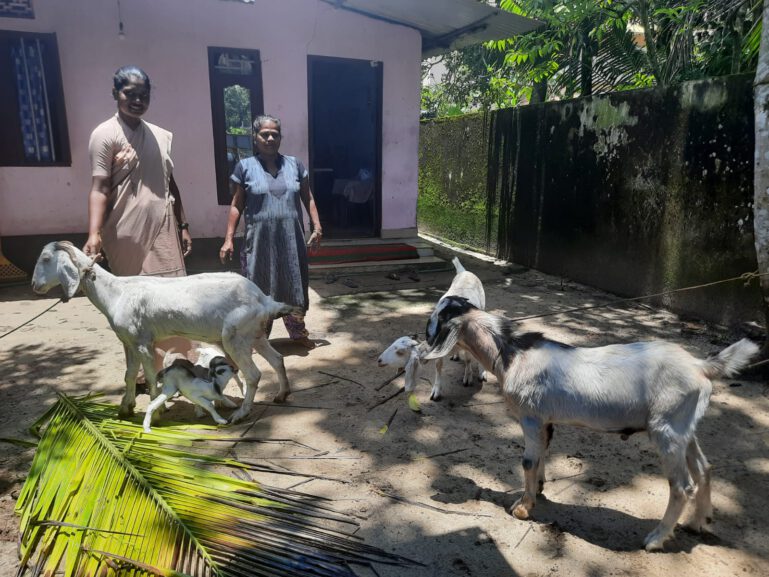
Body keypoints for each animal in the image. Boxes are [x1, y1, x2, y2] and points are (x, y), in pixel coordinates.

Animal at [30, 241, 296, 420]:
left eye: (46, 258)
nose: (34, 285)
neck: (116, 293)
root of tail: (263, 299)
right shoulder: (128, 341)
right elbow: (129, 374)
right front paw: (125, 408)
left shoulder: (142, 343)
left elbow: (149, 376)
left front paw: (157, 413)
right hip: (255, 334)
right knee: (277, 359)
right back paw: (282, 394)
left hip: (235, 336)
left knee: (254, 374)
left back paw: (241, 413)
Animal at [424, 294, 760, 552]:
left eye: (438, 316)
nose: (425, 335)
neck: (512, 353)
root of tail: (700, 366)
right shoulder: (546, 421)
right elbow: (543, 454)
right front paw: (540, 490)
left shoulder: (530, 417)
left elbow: (528, 461)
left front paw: (522, 507)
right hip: (683, 428)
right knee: (704, 468)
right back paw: (698, 522)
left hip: (667, 429)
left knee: (682, 485)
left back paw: (655, 539)